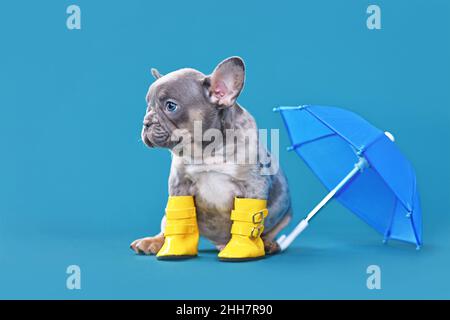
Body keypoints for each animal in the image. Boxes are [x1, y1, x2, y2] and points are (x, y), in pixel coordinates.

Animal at [130, 57, 292, 255]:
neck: (207, 152)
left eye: (170, 106)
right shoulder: (179, 185)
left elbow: (250, 219)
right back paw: (153, 242)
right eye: (148, 106)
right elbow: (178, 220)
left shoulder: (254, 186)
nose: (146, 122)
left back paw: (268, 244)